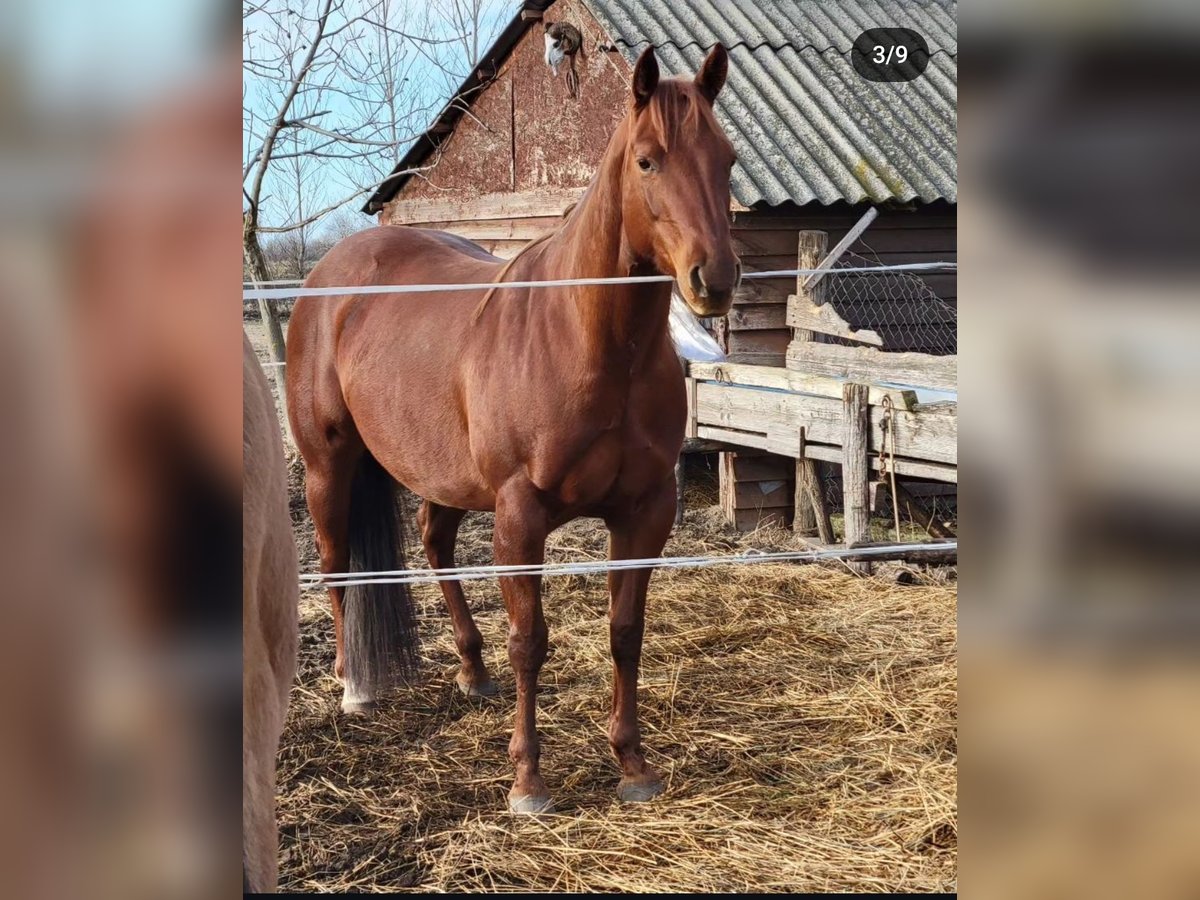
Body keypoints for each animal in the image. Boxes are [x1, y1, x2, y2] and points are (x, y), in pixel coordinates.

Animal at [288, 45, 739, 816]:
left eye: (729, 159)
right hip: (328, 467)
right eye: (648, 161)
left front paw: (633, 763)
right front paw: (528, 780)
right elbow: (530, 641)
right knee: (335, 562)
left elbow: (626, 633)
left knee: (435, 545)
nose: (715, 278)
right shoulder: (520, 517)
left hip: (440, 475)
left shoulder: (644, 512)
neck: (588, 340)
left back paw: (470, 670)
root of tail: (328, 278)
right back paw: (353, 686)